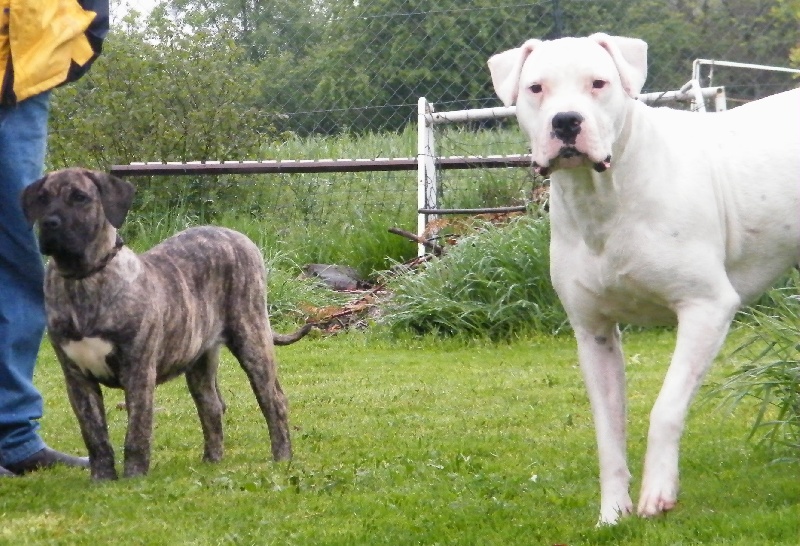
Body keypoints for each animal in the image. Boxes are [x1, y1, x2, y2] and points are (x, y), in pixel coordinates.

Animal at [488, 34, 800, 524]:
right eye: (536, 88)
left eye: (598, 83)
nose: (566, 120)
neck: (604, 197)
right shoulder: (594, 334)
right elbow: (608, 431)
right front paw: (613, 512)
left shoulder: (705, 308)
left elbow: (665, 407)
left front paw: (658, 490)